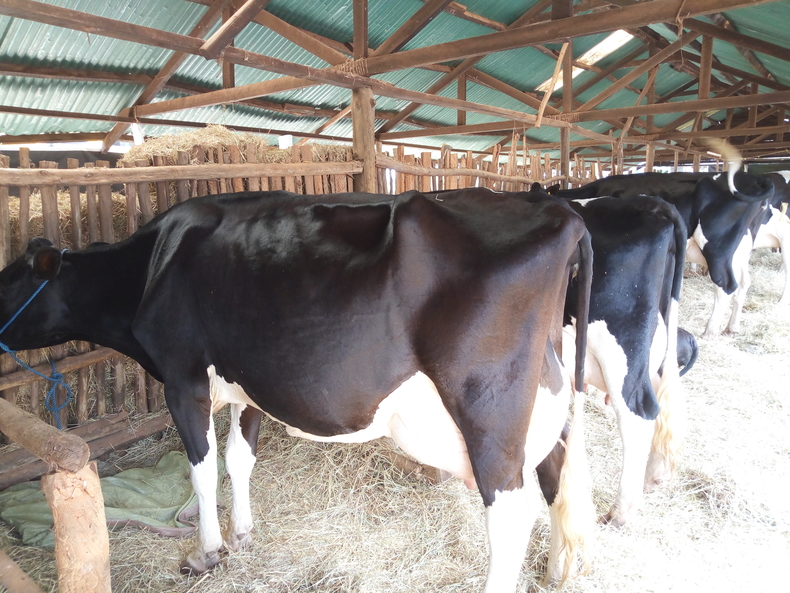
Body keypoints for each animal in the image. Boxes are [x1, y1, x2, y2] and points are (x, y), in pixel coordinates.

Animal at [0, 189, 594, 593]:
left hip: (489, 410)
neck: (152, 265)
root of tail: (563, 215)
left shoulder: (182, 379)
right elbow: (238, 460)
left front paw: (207, 552)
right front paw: (243, 535)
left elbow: (202, 468)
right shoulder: (248, 385)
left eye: (9, 280)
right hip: (546, 402)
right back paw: (558, 571)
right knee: (557, 478)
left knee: (510, 512)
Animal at [555, 163, 774, 339]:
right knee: (744, 283)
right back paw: (732, 327)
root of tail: (753, 179)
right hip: (740, 251)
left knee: (726, 285)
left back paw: (710, 331)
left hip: (719, 248)